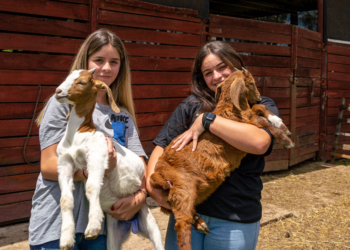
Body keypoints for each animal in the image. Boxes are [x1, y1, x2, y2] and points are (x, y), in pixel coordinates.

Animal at [55, 69, 164, 250]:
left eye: (82, 82)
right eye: (67, 77)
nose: (58, 92)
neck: (79, 133)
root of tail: (131, 222)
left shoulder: (97, 155)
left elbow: (91, 187)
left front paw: (92, 227)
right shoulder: (65, 162)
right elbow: (65, 199)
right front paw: (66, 240)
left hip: (150, 222)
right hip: (113, 234)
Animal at [149, 68, 294, 250]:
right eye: (252, 83)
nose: (259, 97)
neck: (231, 108)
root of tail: (156, 175)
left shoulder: (248, 116)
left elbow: (259, 109)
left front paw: (280, 123)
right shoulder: (246, 125)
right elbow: (259, 118)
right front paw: (286, 140)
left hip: (177, 196)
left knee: (181, 214)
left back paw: (201, 224)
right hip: (183, 188)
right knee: (181, 225)